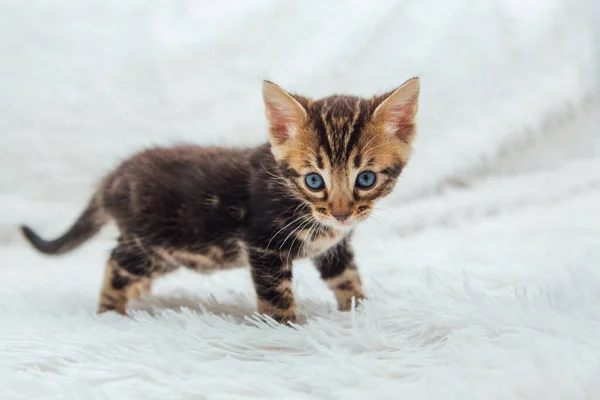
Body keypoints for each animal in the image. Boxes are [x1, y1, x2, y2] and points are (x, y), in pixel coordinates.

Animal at [19, 76, 422, 324]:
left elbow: (347, 278)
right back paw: (111, 310)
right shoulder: (262, 245)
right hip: (150, 244)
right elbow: (276, 294)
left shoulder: (333, 246)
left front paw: (360, 312)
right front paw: (288, 327)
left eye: (366, 179)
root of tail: (112, 179)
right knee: (116, 263)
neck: (303, 206)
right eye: (314, 180)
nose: (341, 213)